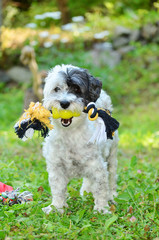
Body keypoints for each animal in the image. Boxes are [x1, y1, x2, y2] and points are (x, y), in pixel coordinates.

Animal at [41, 64, 118, 214]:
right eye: (56, 89)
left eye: (77, 89)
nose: (64, 103)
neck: (70, 134)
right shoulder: (56, 166)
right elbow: (58, 189)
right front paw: (56, 207)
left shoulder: (97, 166)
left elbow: (101, 188)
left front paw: (101, 208)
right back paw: (86, 192)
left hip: (111, 154)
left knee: (111, 176)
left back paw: (112, 195)